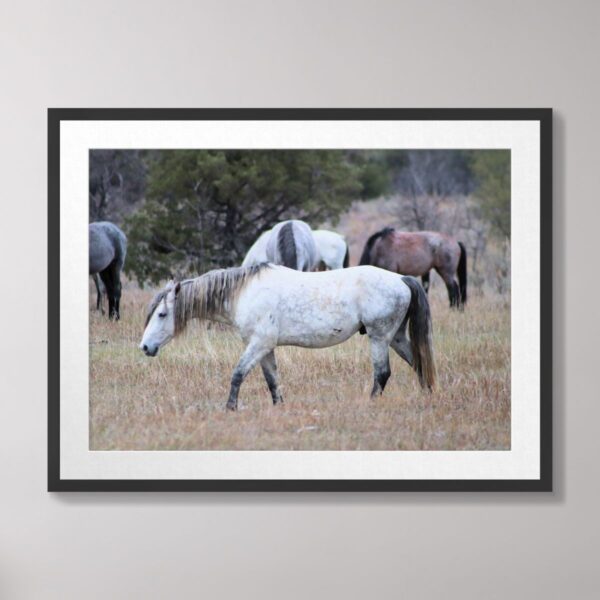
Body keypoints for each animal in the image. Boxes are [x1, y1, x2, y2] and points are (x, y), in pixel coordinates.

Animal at [138, 264, 434, 410]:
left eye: (162, 314)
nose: (145, 347)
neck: (243, 292)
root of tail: (401, 279)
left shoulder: (259, 344)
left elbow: (237, 374)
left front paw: (230, 408)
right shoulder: (266, 348)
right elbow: (272, 381)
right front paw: (278, 407)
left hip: (379, 337)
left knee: (382, 374)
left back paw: (369, 404)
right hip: (395, 338)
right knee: (419, 364)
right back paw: (428, 397)